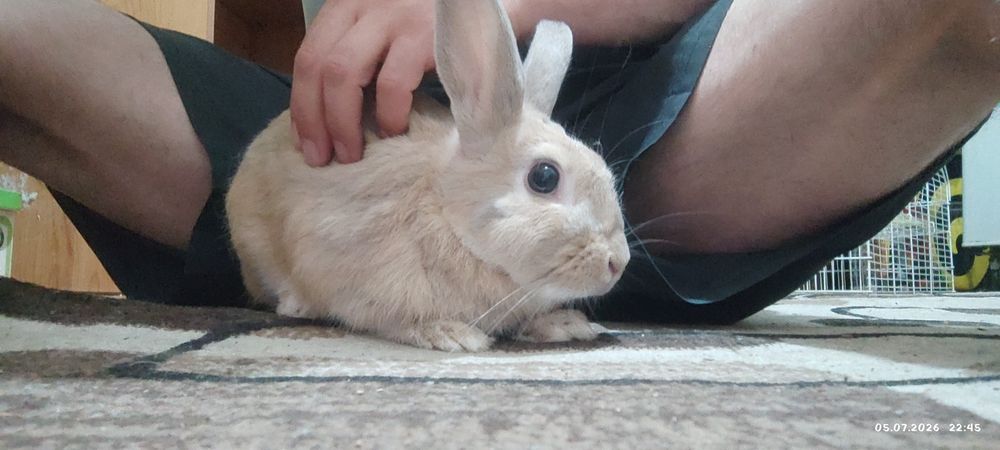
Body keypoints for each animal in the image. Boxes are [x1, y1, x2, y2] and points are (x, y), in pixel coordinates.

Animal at [225, 0, 630, 352]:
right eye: (544, 177)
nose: (618, 263)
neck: (446, 214)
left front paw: (565, 324)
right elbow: (393, 321)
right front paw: (450, 334)